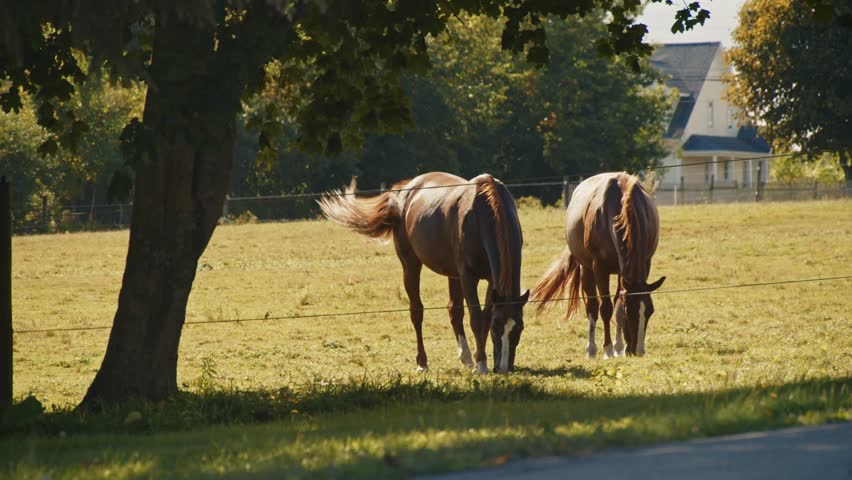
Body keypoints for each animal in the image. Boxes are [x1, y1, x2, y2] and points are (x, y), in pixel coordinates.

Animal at [319, 172, 529, 373]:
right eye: (496, 328)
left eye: (519, 328)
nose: (504, 368)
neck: (482, 213)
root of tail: (405, 191)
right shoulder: (469, 277)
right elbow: (477, 318)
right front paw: (482, 365)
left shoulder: (491, 280)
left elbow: (483, 316)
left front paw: (479, 359)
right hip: (411, 265)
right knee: (417, 311)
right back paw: (422, 363)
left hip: (453, 273)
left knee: (454, 311)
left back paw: (467, 357)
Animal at [532, 172, 665, 358]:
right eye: (629, 311)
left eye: (650, 311)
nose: (638, 351)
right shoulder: (600, 268)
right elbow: (606, 308)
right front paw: (608, 349)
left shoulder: (639, 266)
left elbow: (617, 303)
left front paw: (618, 347)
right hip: (587, 269)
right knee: (593, 306)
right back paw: (592, 349)